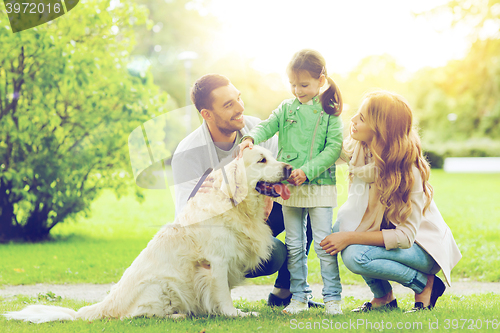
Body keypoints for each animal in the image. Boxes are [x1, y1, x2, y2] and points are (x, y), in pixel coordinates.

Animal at [3, 145, 292, 322]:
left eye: (272, 156)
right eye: (261, 160)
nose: (289, 168)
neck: (236, 205)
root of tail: (105, 304)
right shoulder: (216, 263)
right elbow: (223, 294)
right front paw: (235, 314)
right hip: (161, 285)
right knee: (135, 315)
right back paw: (178, 315)